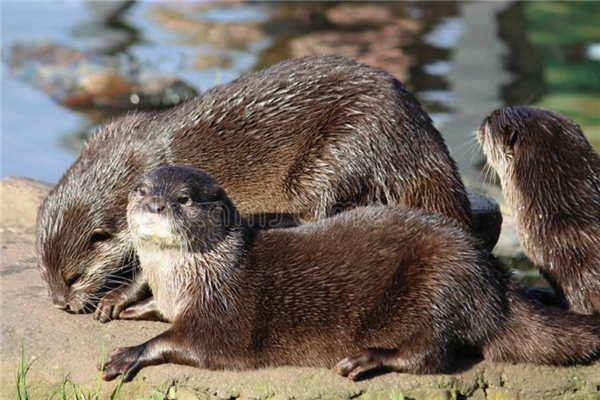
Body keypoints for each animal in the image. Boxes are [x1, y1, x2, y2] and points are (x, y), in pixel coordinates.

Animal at [37, 54, 478, 318]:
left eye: (75, 276)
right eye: (45, 273)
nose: (60, 303)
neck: (131, 160)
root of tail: (423, 140)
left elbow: (149, 270)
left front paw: (114, 300)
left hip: (342, 147)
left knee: (322, 211)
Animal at [97, 167, 600, 382]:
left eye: (183, 199)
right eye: (140, 189)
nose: (154, 205)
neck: (198, 276)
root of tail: (495, 278)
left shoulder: (223, 314)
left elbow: (187, 343)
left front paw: (130, 353)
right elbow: (160, 312)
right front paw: (126, 304)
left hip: (439, 281)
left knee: (430, 355)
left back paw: (363, 360)